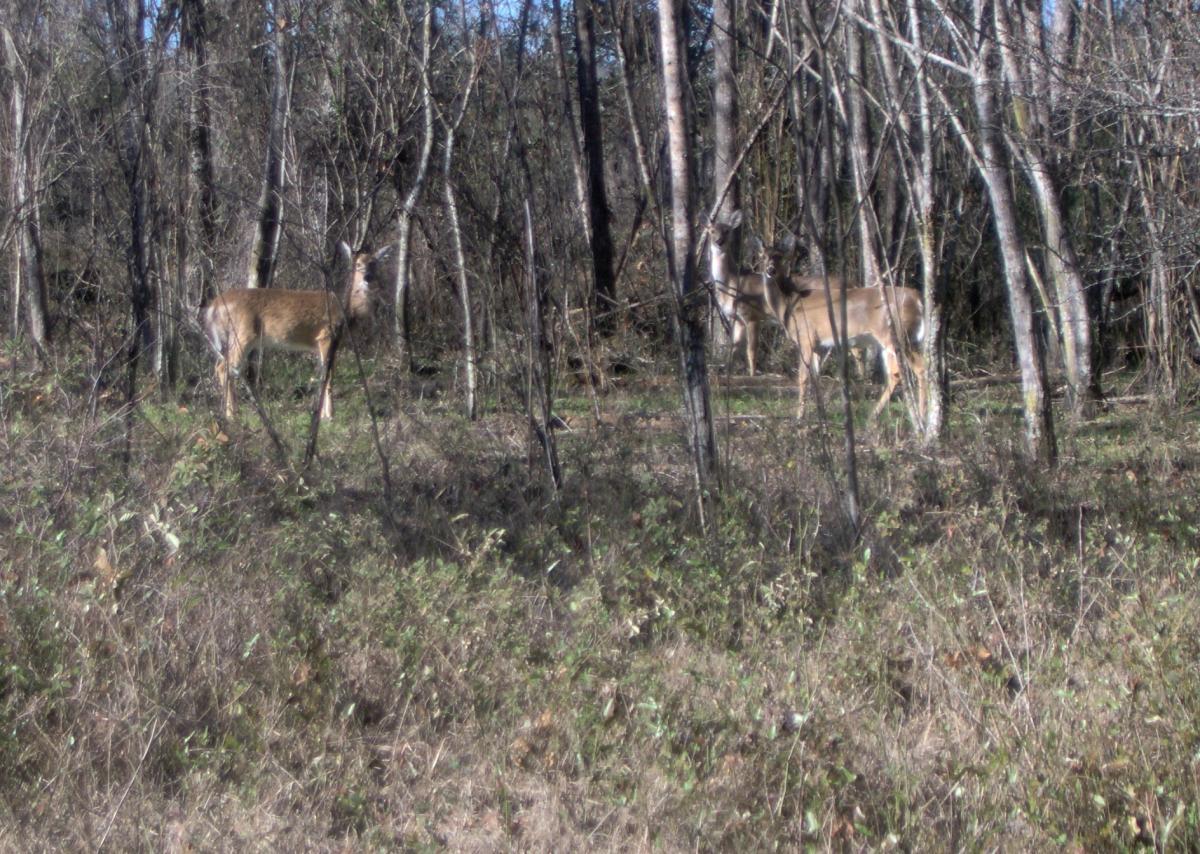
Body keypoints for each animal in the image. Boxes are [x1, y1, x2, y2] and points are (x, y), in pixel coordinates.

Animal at [202, 242, 391, 421]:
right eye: (357, 264)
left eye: (373, 263)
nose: (367, 277)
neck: (346, 312)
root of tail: (214, 306)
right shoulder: (326, 336)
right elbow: (328, 376)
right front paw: (330, 415)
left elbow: (322, 375)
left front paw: (322, 414)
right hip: (243, 333)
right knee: (223, 367)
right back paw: (232, 415)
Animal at [759, 242, 927, 423]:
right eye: (763, 256)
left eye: (779, 257)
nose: (770, 270)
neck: (790, 304)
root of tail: (918, 299)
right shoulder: (820, 345)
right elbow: (816, 378)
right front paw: (821, 415)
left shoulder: (806, 337)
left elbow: (803, 377)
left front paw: (799, 417)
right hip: (901, 340)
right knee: (899, 373)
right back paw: (874, 416)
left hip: (897, 336)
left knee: (916, 369)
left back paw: (920, 416)